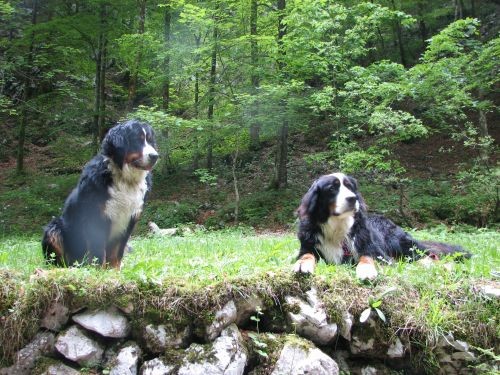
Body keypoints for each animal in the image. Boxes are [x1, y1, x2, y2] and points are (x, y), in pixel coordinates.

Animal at [42, 119, 158, 268]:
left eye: (149, 140)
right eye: (137, 140)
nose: (155, 156)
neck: (125, 180)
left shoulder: (130, 219)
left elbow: (117, 253)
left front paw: (115, 270)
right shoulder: (96, 218)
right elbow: (98, 251)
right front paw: (99, 270)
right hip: (54, 228)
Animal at [292, 173, 468, 280]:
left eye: (350, 187)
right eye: (332, 189)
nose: (353, 198)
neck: (338, 228)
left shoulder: (374, 250)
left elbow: (367, 257)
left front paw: (366, 270)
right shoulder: (308, 246)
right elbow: (306, 255)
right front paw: (302, 265)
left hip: (398, 242)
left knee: (429, 255)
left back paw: (447, 266)